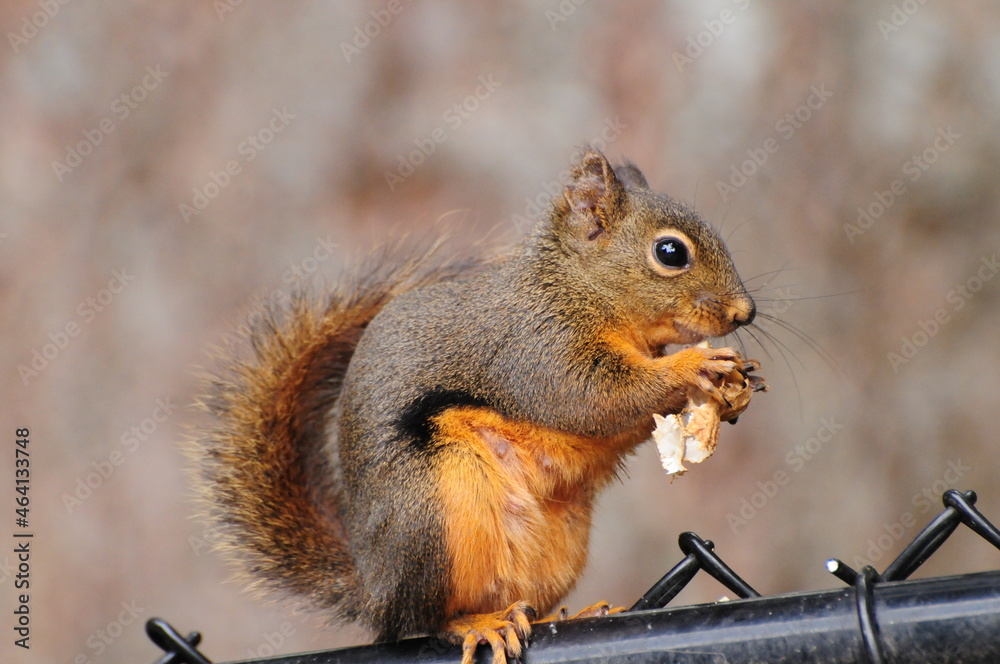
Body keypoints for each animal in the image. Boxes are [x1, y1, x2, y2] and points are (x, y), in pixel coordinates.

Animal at [190, 146, 761, 664]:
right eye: (670, 253)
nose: (746, 312)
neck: (578, 287)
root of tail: (373, 588)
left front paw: (737, 386)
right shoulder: (536, 348)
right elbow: (594, 399)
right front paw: (694, 367)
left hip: (557, 546)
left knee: (521, 603)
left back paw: (569, 614)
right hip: (433, 515)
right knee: (420, 621)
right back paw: (477, 624)